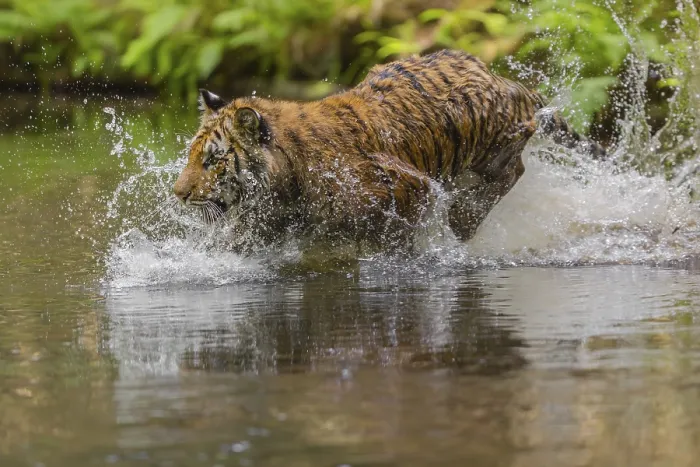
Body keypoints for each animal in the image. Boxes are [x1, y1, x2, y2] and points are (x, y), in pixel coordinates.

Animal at [173, 49, 605, 252]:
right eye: (194, 156)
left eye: (213, 160)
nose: (178, 194)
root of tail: (501, 79)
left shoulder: (409, 190)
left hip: (492, 149)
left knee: (509, 174)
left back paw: (462, 223)